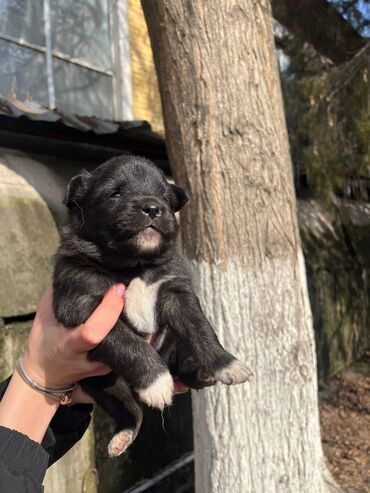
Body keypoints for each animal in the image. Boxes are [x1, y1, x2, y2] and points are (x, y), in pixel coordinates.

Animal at [52, 156, 251, 456]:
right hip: (103, 383)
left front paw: (226, 363)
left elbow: (200, 328)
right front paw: (157, 382)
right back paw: (123, 435)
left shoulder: (177, 291)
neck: (136, 266)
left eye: (164, 196)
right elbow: (125, 340)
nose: (153, 208)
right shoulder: (84, 305)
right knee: (128, 407)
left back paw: (199, 368)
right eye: (115, 193)